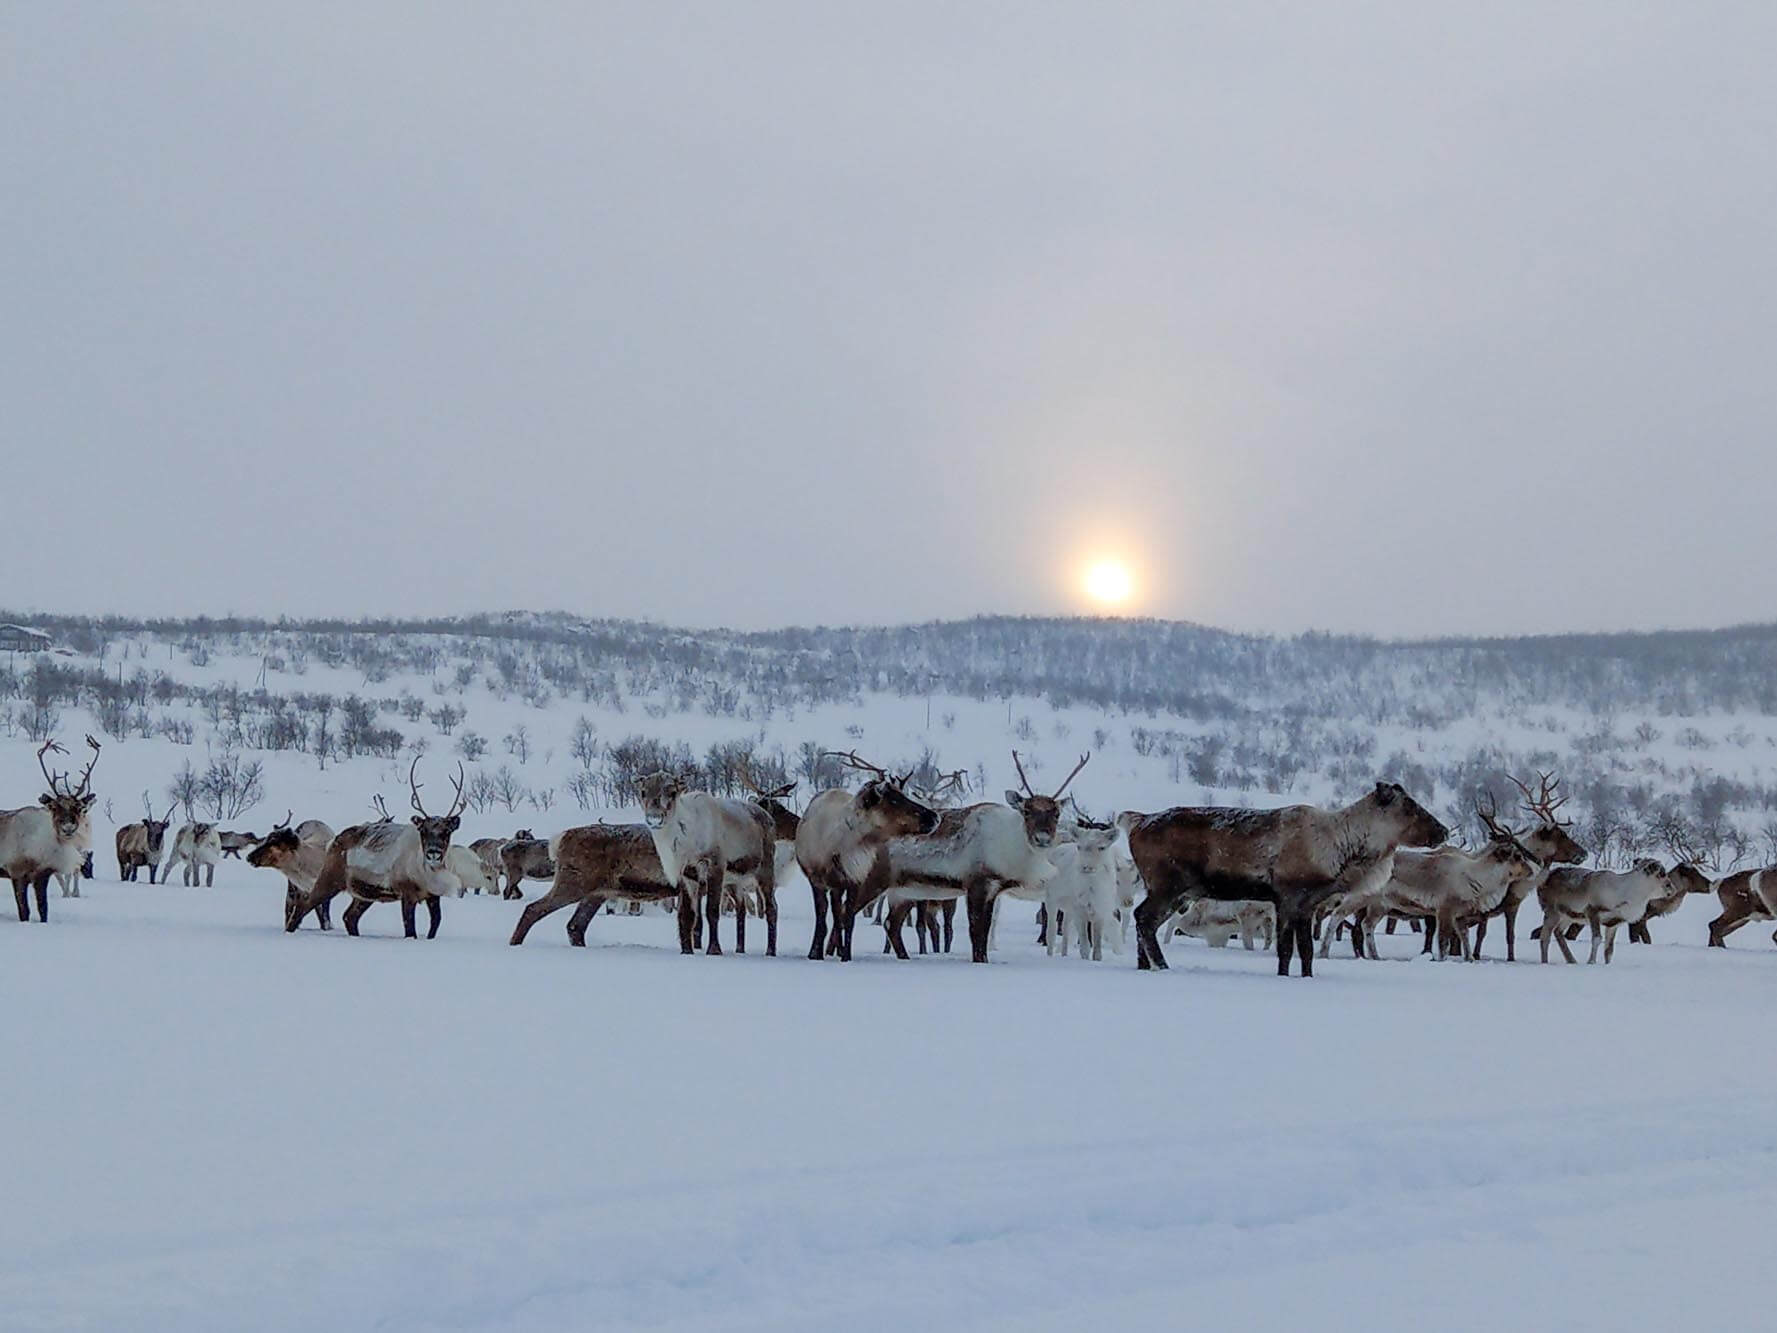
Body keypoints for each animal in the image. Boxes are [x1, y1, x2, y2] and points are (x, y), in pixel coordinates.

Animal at [0, 736, 100, 923]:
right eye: (54, 807)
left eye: (79, 808)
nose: (68, 828)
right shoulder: (16, 872)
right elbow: (24, 911)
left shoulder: (43, 875)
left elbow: (43, 909)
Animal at [285, 759, 467, 939]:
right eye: (423, 830)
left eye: (446, 831)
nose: (433, 853)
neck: (425, 872)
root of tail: (334, 840)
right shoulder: (407, 894)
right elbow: (410, 930)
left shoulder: (433, 896)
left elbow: (435, 924)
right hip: (330, 879)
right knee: (303, 905)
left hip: (364, 894)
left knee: (349, 916)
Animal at [1123, 781, 1450, 976]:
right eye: (1409, 807)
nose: (1444, 830)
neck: (1342, 852)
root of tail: (1136, 822)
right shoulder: (1287, 896)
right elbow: (1284, 949)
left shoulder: (1308, 904)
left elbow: (1306, 950)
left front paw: (1306, 977)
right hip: (1168, 885)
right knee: (1143, 918)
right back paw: (1161, 966)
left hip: (1177, 892)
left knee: (1144, 920)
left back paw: (1145, 966)